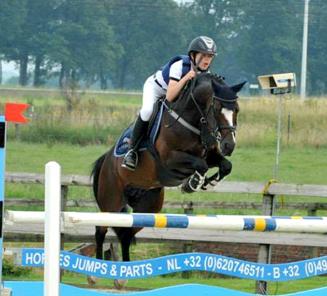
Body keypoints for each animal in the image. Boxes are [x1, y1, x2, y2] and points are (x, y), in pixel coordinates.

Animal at [91, 72, 245, 280]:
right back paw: (95, 273)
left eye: (236, 109)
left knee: (126, 235)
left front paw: (206, 182)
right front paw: (193, 182)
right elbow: (201, 165)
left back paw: (125, 276)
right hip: (111, 201)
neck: (194, 120)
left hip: (148, 208)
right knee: (100, 230)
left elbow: (225, 166)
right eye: (217, 108)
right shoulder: (170, 159)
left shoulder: (210, 154)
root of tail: (105, 160)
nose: (229, 146)